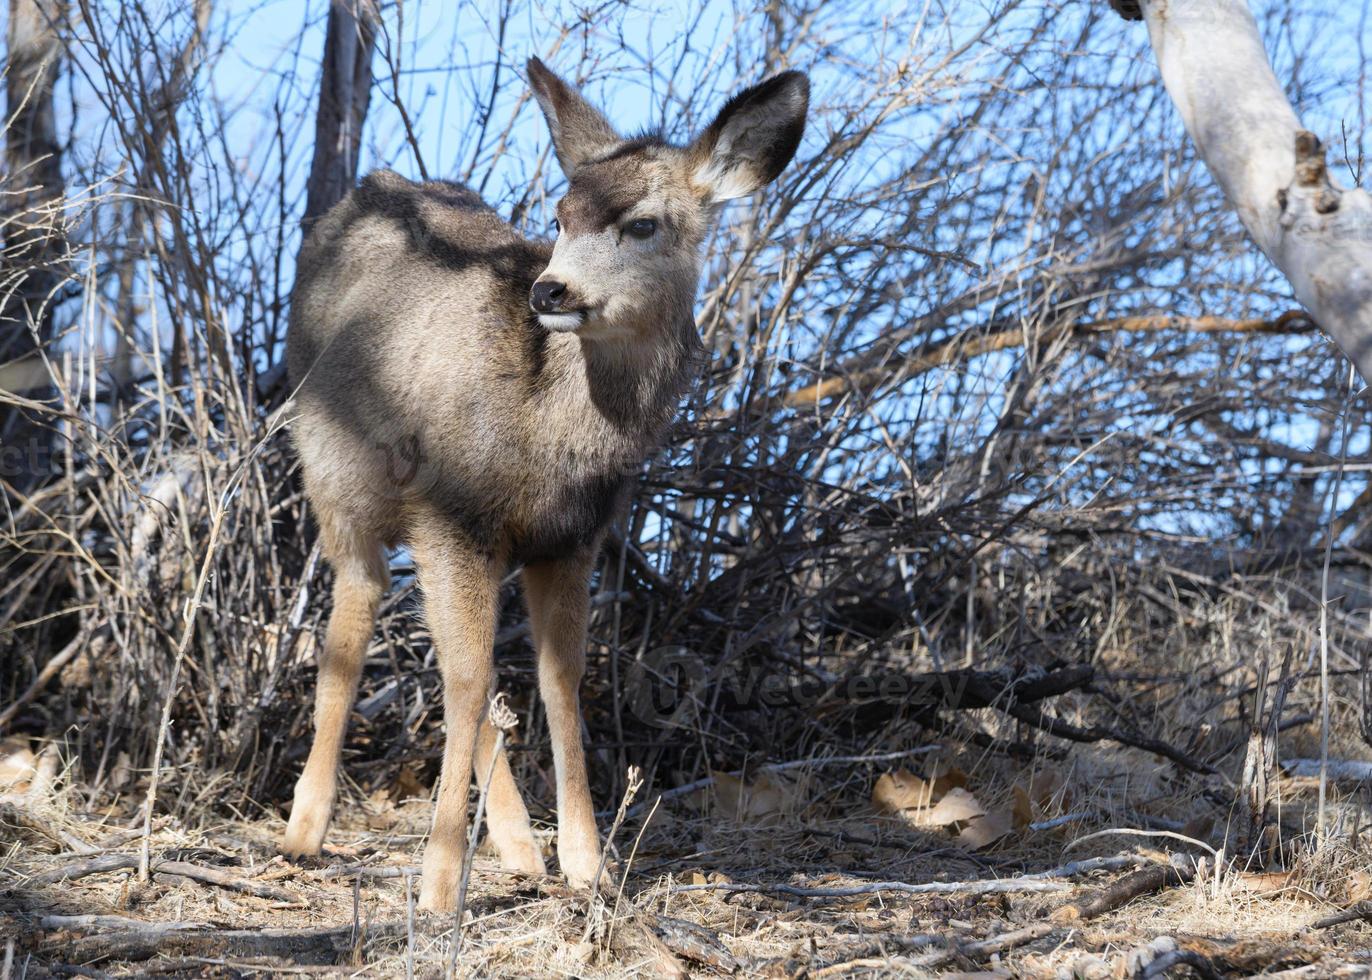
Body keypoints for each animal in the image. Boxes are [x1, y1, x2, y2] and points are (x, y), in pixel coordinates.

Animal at [284, 55, 806, 905]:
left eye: (643, 223)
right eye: (559, 217)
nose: (550, 290)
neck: (552, 441)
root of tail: (366, 189)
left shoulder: (572, 539)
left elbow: (559, 685)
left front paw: (589, 865)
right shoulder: (451, 515)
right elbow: (469, 685)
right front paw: (438, 888)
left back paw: (521, 846)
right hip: (338, 479)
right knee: (357, 619)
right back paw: (305, 828)